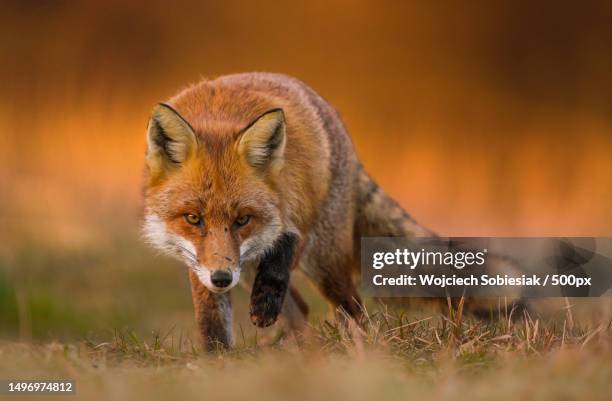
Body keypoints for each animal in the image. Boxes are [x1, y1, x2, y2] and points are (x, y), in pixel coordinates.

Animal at [142, 73, 444, 348]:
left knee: (351, 307)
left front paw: (265, 302)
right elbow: (211, 323)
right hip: (248, 269)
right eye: (193, 218)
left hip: (324, 263)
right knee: (301, 309)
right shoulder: (199, 262)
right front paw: (217, 360)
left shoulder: (296, 213)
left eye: (243, 219)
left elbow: (283, 251)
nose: (221, 278)